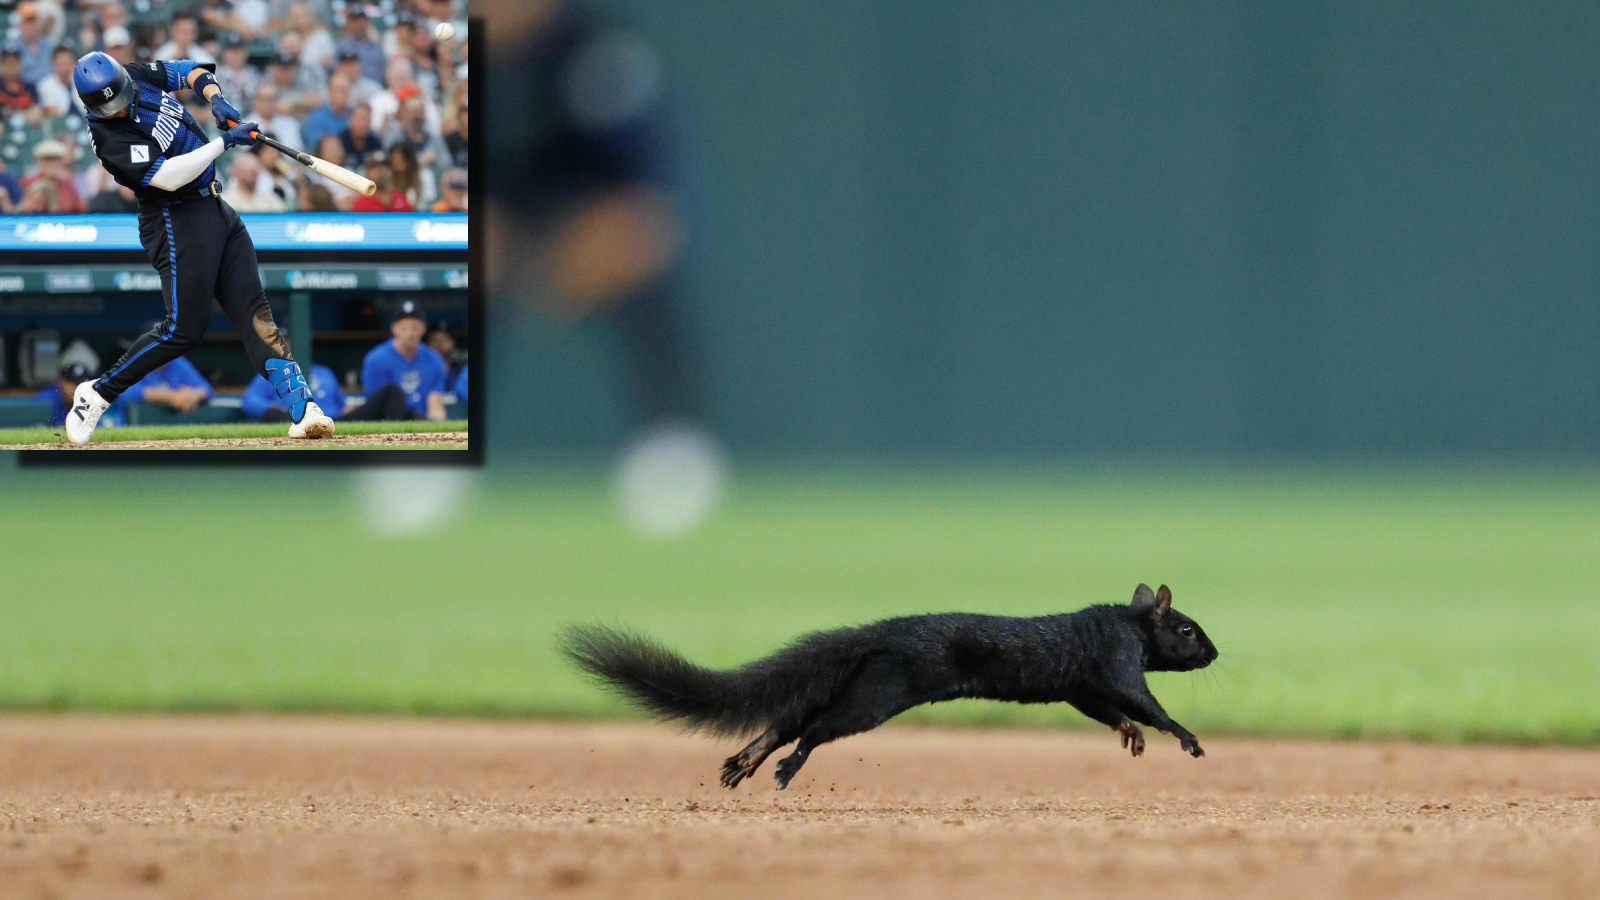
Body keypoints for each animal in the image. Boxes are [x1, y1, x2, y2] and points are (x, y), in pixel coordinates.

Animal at [563, 583, 1218, 790]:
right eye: (1188, 629)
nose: (1214, 653)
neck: (1128, 623)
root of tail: (880, 634)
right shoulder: (1116, 662)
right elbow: (1145, 702)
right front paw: (1186, 738)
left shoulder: (1082, 685)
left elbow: (1106, 708)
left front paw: (1130, 735)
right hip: (878, 694)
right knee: (814, 728)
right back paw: (785, 767)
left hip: (861, 684)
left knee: (789, 717)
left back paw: (746, 761)